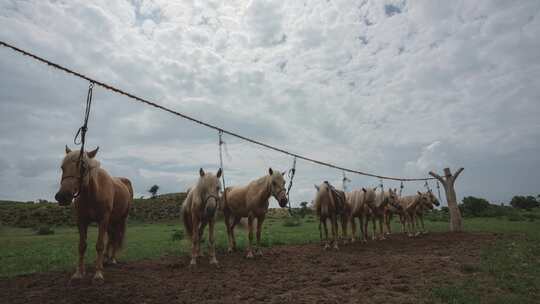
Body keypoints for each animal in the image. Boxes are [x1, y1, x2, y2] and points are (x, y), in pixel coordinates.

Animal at [54, 146, 132, 284]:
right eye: (62, 167)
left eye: (83, 167)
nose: (62, 196)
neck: (92, 194)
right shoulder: (81, 221)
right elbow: (82, 246)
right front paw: (79, 273)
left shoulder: (103, 220)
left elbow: (99, 245)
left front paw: (98, 274)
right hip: (111, 222)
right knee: (111, 238)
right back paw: (105, 259)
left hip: (120, 220)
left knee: (116, 237)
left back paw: (112, 259)